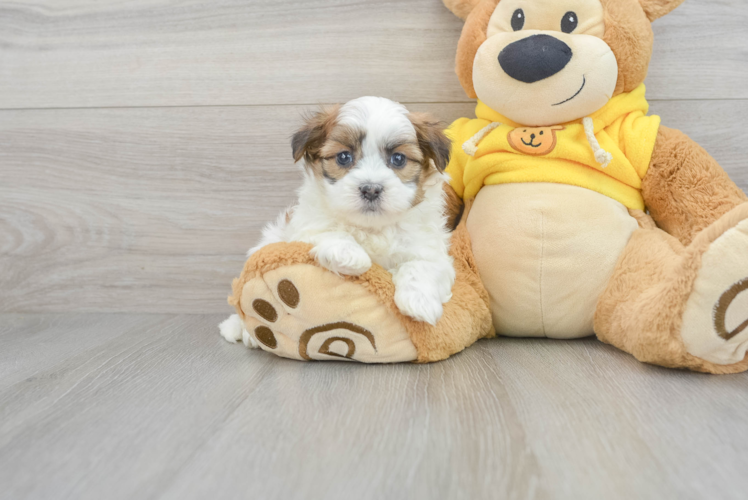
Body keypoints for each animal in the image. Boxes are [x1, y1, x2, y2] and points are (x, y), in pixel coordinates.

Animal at [221, 97, 456, 348]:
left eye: (398, 159)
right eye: (344, 157)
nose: (371, 189)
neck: (371, 227)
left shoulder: (429, 248)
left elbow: (423, 265)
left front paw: (419, 302)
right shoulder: (306, 227)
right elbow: (328, 231)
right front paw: (350, 256)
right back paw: (242, 330)